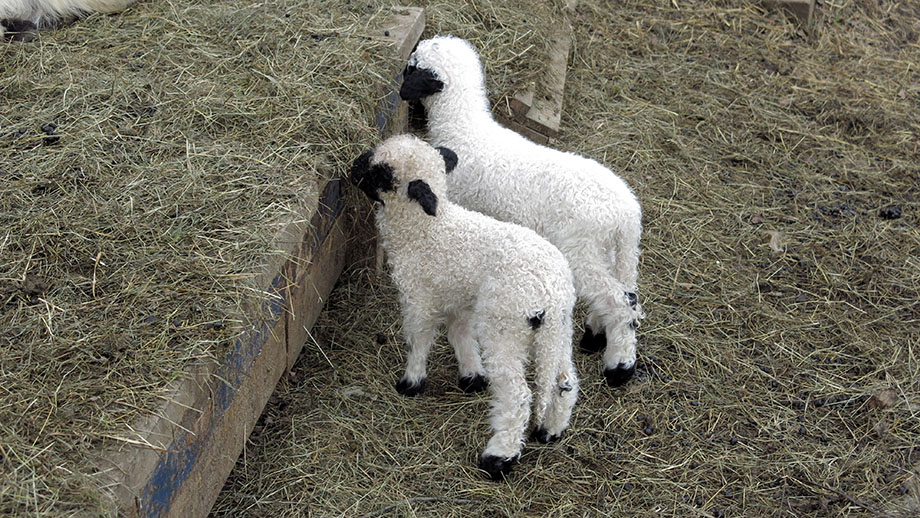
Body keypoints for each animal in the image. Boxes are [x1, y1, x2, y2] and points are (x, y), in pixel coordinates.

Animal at [348, 135, 580, 484]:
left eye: (382, 174)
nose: (351, 168)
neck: (425, 229)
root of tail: (551, 293)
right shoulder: (460, 297)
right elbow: (459, 334)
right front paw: (472, 376)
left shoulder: (418, 297)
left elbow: (418, 338)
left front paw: (411, 382)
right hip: (558, 331)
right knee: (564, 381)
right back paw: (551, 431)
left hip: (503, 327)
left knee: (518, 396)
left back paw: (498, 457)